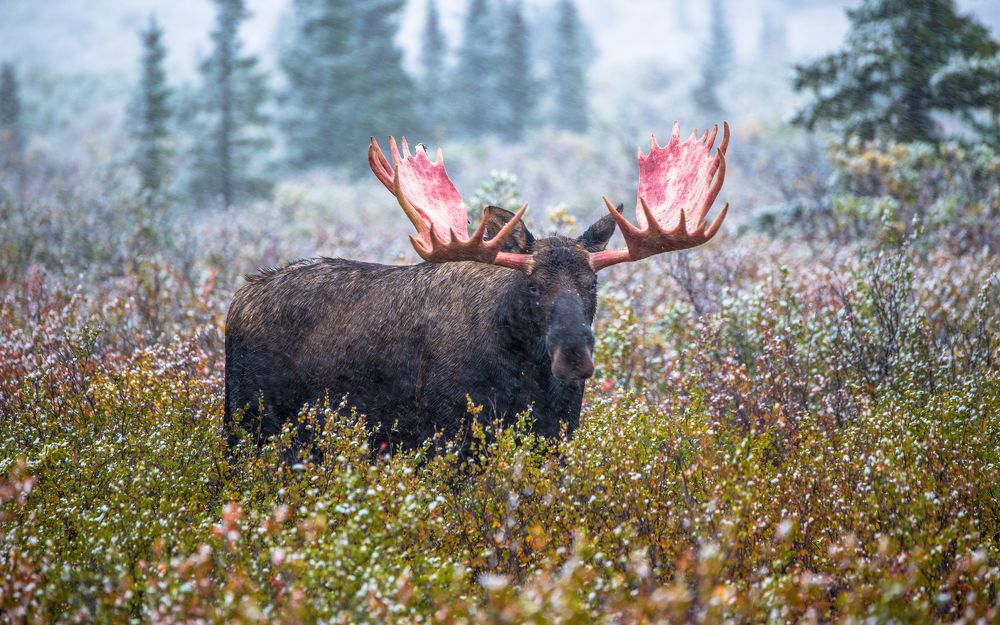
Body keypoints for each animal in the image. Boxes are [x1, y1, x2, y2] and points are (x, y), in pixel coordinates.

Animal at [224, 122, 730, 454]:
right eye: (532, 285)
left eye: (593, 284)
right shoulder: (450, 437)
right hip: (246, 422)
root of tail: (237, 302)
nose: (574, 356)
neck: (528, 380)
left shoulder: (556, 439)